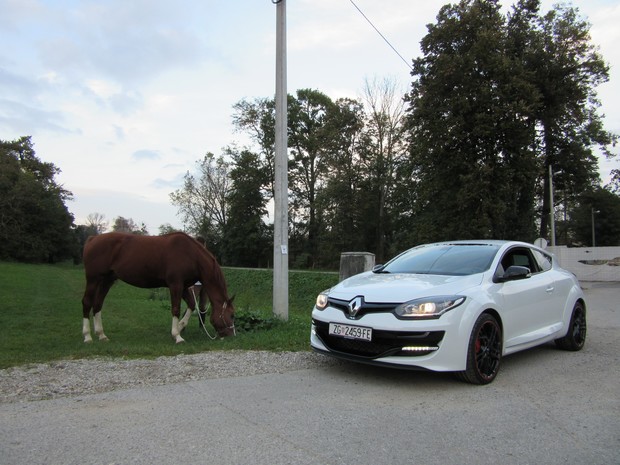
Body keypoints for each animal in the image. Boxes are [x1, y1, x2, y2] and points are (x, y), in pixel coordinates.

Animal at [81, 231, 235, 342]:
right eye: (232, 315)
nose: (231, 335)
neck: (191, 255)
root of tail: (93, 239)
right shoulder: (175, 285)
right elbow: (176, 309)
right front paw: (177, 336)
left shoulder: (184, 286)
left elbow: (191, 305)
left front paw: (179, 327)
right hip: (93, 279)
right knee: (87, 302)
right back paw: (87, 336)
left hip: (107, 280)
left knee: (98, 304)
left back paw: (102, 335)